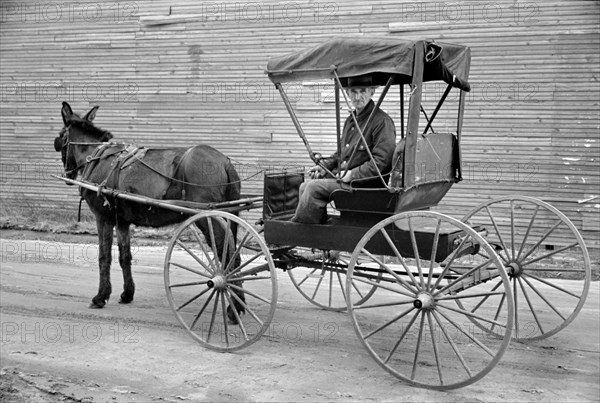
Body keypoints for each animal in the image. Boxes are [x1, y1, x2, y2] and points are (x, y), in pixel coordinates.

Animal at [54, 101, 244, 316]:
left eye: (61, 136)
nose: (68, 172)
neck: (98, 158)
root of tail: (225, 161)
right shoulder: (122, 221)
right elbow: (125, 256)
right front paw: (127, 294)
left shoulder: (103, 218)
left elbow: (104, 257)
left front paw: (101, 296)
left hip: (210, 218)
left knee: (229, 258)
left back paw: (234, 308)